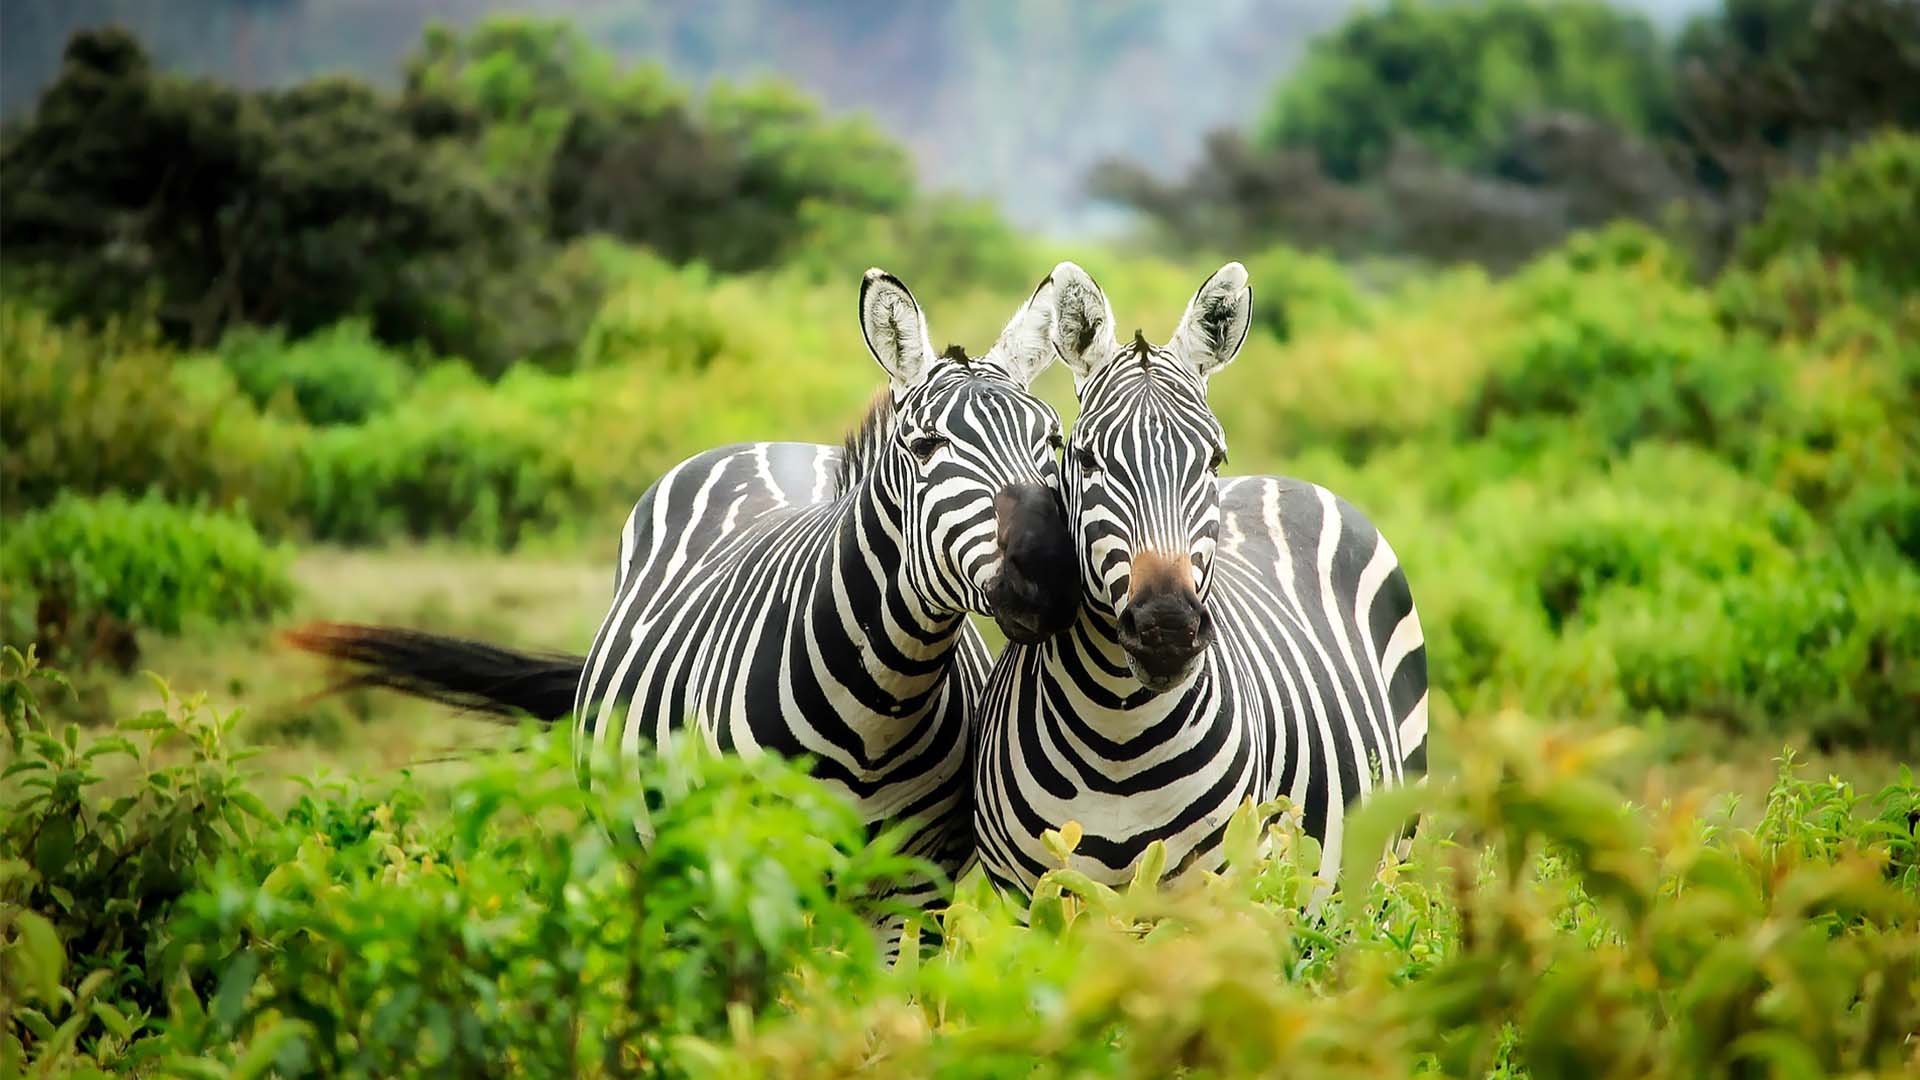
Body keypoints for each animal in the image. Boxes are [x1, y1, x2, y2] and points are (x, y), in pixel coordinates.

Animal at [293, 265, 1090, 910]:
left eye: (1053, 442)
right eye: (925, 447)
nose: (1052, 574)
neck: (880, 707)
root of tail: (771, 444)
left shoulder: (912, 892)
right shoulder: (747, 871)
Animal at [975, 259, 1428, 891]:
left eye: (1214, 459)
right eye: (1085, 459)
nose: (1166, 629)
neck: (1119, 736)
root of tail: (1284, 479)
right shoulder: (1031, 894)